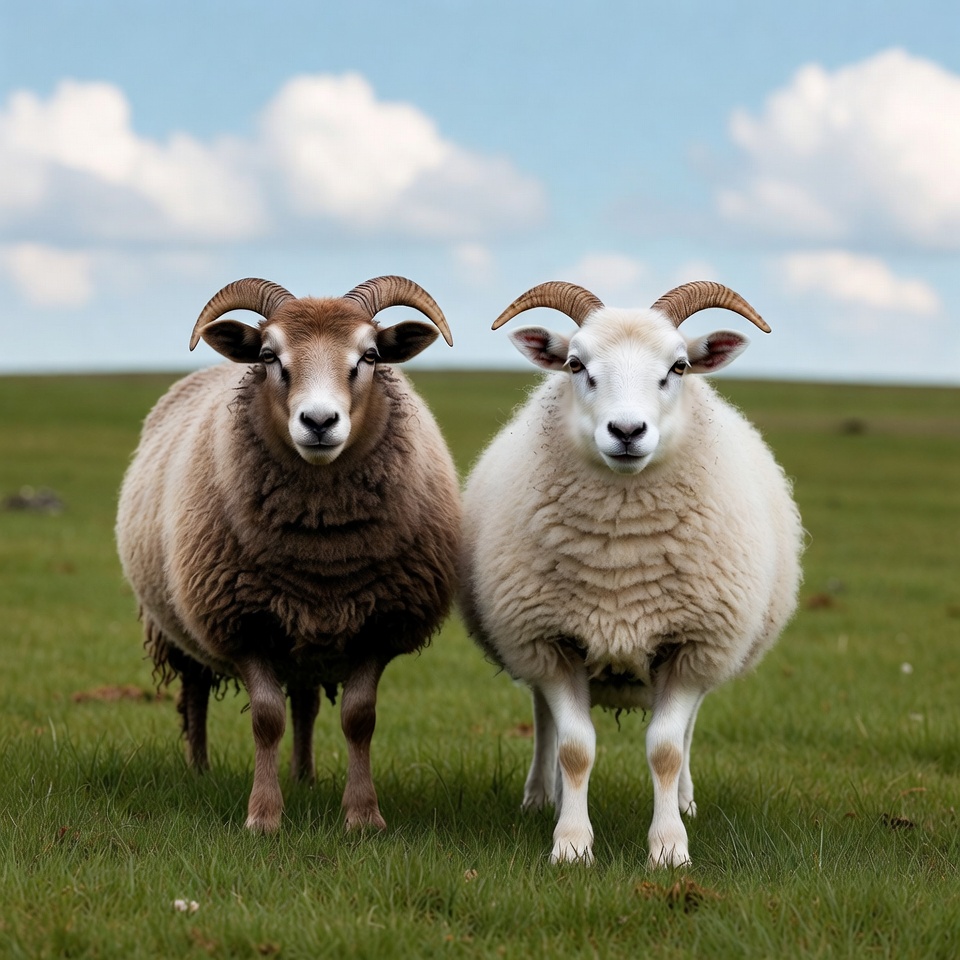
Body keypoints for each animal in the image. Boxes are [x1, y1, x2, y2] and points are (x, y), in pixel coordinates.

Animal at [116, 275, 461, 833]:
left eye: (369, 355)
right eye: (267, 355)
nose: (319, 421)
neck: (322, 550)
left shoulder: (380, 624)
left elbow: (358, 718)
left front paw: (363, 816)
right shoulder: (242, 621)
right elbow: (265, 718)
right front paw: (263, 816)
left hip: (308, 638)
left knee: (303, 702)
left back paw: (305, 776)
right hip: (176, 624)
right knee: (195, 692)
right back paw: (199, 771)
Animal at [459, 280, 803, 868]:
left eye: (679, 367)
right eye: (575, 364)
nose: (626, 431)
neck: (620, 564)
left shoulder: (692, 644)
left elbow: (665, 750)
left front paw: (669, 847)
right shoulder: (550, 640)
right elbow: (575, 748)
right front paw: (571, 844)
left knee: (686, 732)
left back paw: (685, 800)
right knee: (546, 721)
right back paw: (542, 797)